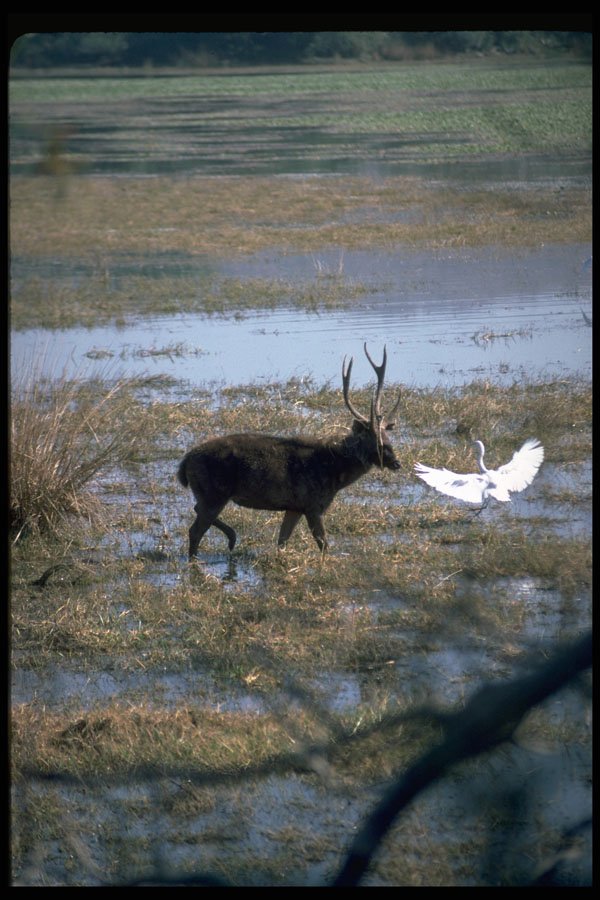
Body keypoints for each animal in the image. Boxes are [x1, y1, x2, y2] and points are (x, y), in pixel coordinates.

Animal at [177, 344, 401, 559]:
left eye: (388, 438)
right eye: (377, 443)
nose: (396, 463)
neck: (334, 472)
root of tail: (184, 462)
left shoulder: (294, 507)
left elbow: (282, 541)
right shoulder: (313, 504)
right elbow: (323, 544)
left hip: (208, 493)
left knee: (197, 511)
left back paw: (230, 539)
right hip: (214, 491)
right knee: (195, 530)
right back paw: (200, 558)